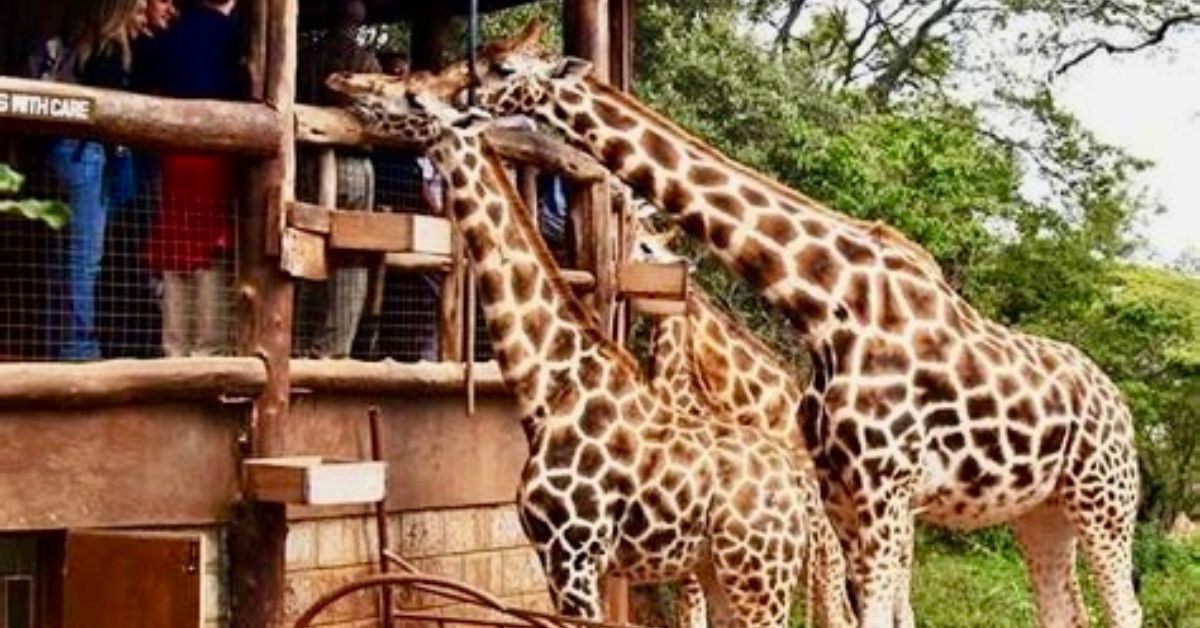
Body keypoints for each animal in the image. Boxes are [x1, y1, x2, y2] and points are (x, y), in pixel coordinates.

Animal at [326, 72, 814, 627]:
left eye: (412, 95)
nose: (343, 82)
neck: (550, 386)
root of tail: (797, 489)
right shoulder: (567, 558)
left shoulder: (572, 553)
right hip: (722, 570)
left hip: (758, 573)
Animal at [438, 34, 1142, 628]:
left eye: (502, 68)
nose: (442, 94)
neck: (825, 302)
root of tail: (1119, 403)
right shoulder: (843, 493)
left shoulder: (886, 489)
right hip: (1041, 511)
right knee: (1064, 608)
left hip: (1105, 500)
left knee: (1124, 606)